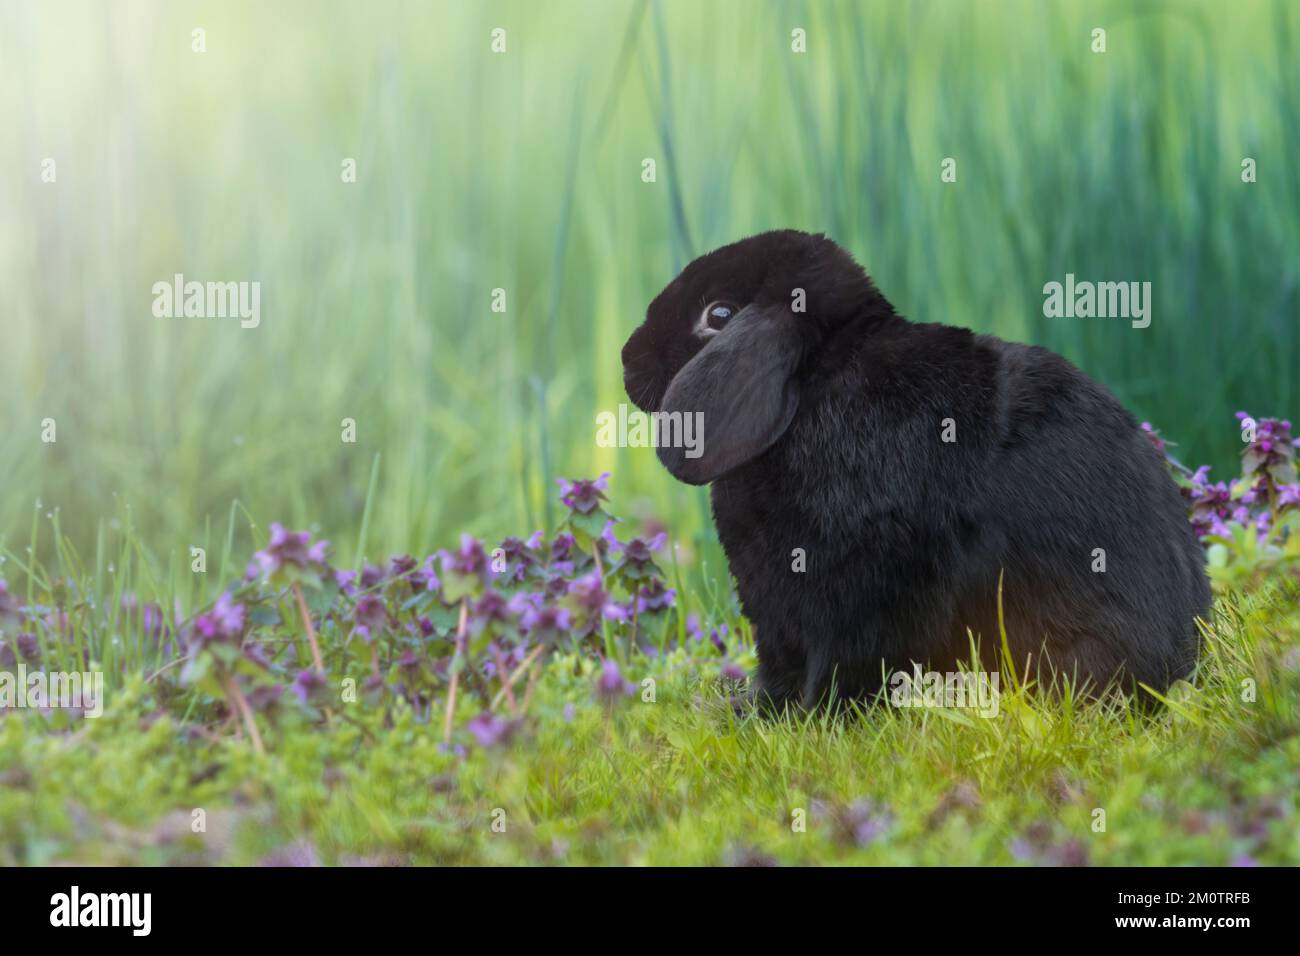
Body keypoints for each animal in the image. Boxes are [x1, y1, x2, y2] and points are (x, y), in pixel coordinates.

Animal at [622, 229, 1211, 711]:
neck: (820, 385)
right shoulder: (777, 618)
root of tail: (1179, 661)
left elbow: (847, 664)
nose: (628, 358)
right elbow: (778, 669)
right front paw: (751, 711)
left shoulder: (868, 590)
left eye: (719, 316)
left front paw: (814, 720)